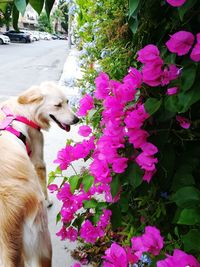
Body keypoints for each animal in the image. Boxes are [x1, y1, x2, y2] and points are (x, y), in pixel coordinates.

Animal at [0, 82, 79, 267]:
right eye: (58, 105)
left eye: (67, 101)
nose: (76, 120)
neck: (23, 110)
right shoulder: (38, 159)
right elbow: (43, 183)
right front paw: (48, 200)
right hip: (42, 242)